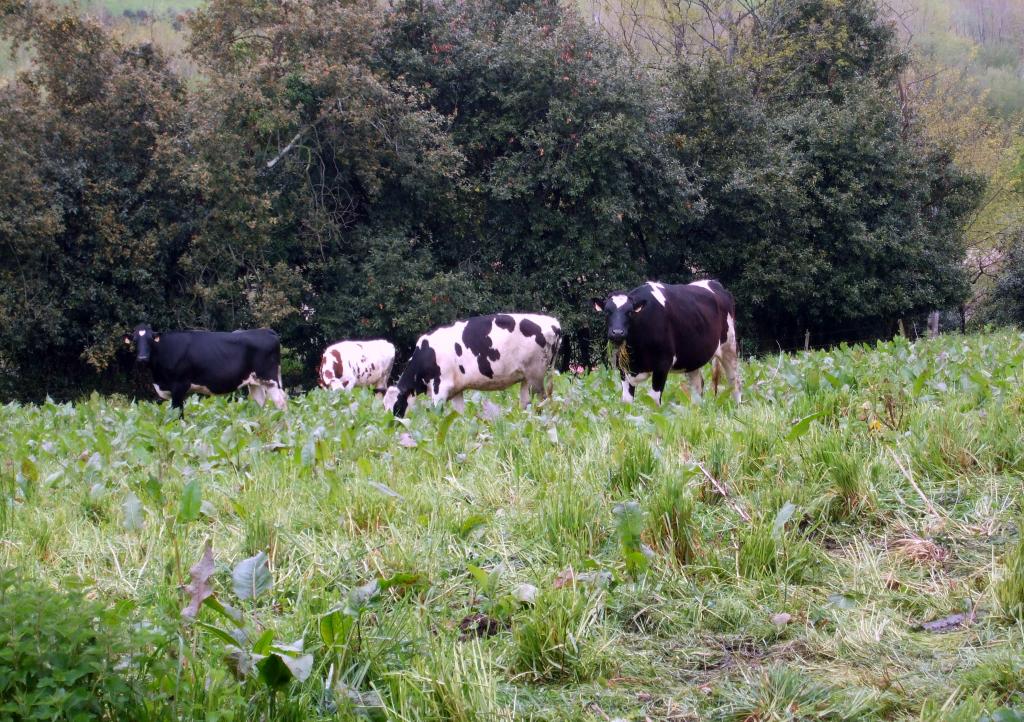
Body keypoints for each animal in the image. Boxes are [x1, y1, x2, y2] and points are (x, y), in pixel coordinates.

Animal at [128, 321, 290, 413]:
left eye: (150, 340)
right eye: (135, 340)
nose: (142, 358)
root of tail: (266, 331)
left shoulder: (179, 386)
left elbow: (178, 414)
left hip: (270, 379)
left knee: (281, 402)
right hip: (255, 382)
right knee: (261, 402)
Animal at [382, 313, 565, 417]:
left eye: (397, 405)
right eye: (384, 405)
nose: (391, 424)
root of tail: (553, 322)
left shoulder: (440, 388)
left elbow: (437, 414)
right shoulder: (456, 389)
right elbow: (458, 414)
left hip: (537, 375)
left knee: (542, 401)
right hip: (527, 377)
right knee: (526, 403)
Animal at [593, 282, 745, 405]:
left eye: (630, 312)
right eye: (607, 312)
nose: (617, 333)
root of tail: (716, 284)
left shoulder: (662, 365)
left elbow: (653, 400)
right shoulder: (624, 369)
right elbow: (626, 401)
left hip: (729, 347)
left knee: (734, 381)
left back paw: (736, 408)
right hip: (691, 357)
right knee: (698, 385)